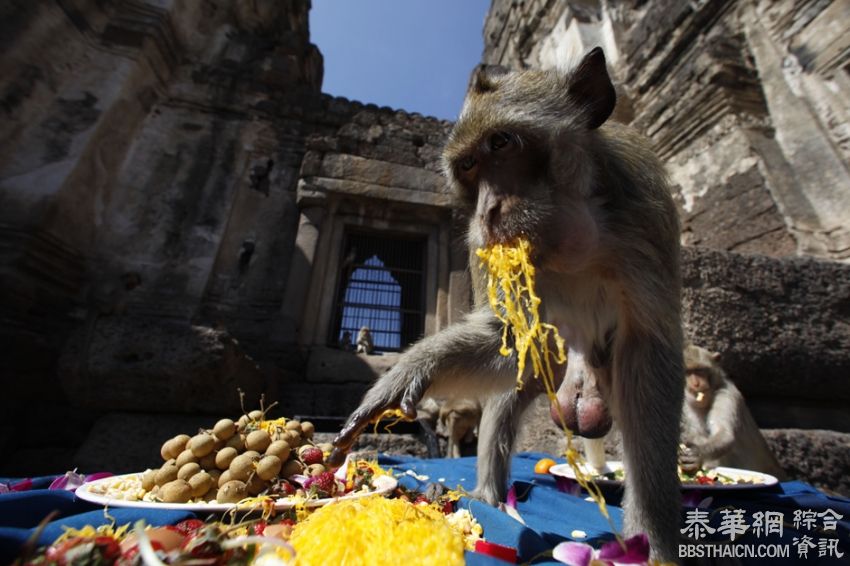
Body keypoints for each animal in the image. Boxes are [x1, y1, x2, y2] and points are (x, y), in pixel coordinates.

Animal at [332, 48, 684, 564]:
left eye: (501, 143)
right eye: (468, 166)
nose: (487, 212)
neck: (569, 239)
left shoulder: (643, 215)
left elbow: (648, 353)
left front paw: (652, 538)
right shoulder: (484, 250)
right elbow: (510, 336)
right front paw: (405, 375)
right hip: (549, 365)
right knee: (512, 385)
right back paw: (489, 496)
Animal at [680, 344, 784, 482]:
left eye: (701, 371)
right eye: (687, 372)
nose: (697, 384)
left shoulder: (726, 394)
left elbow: (725, 434)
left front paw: (697, 454)